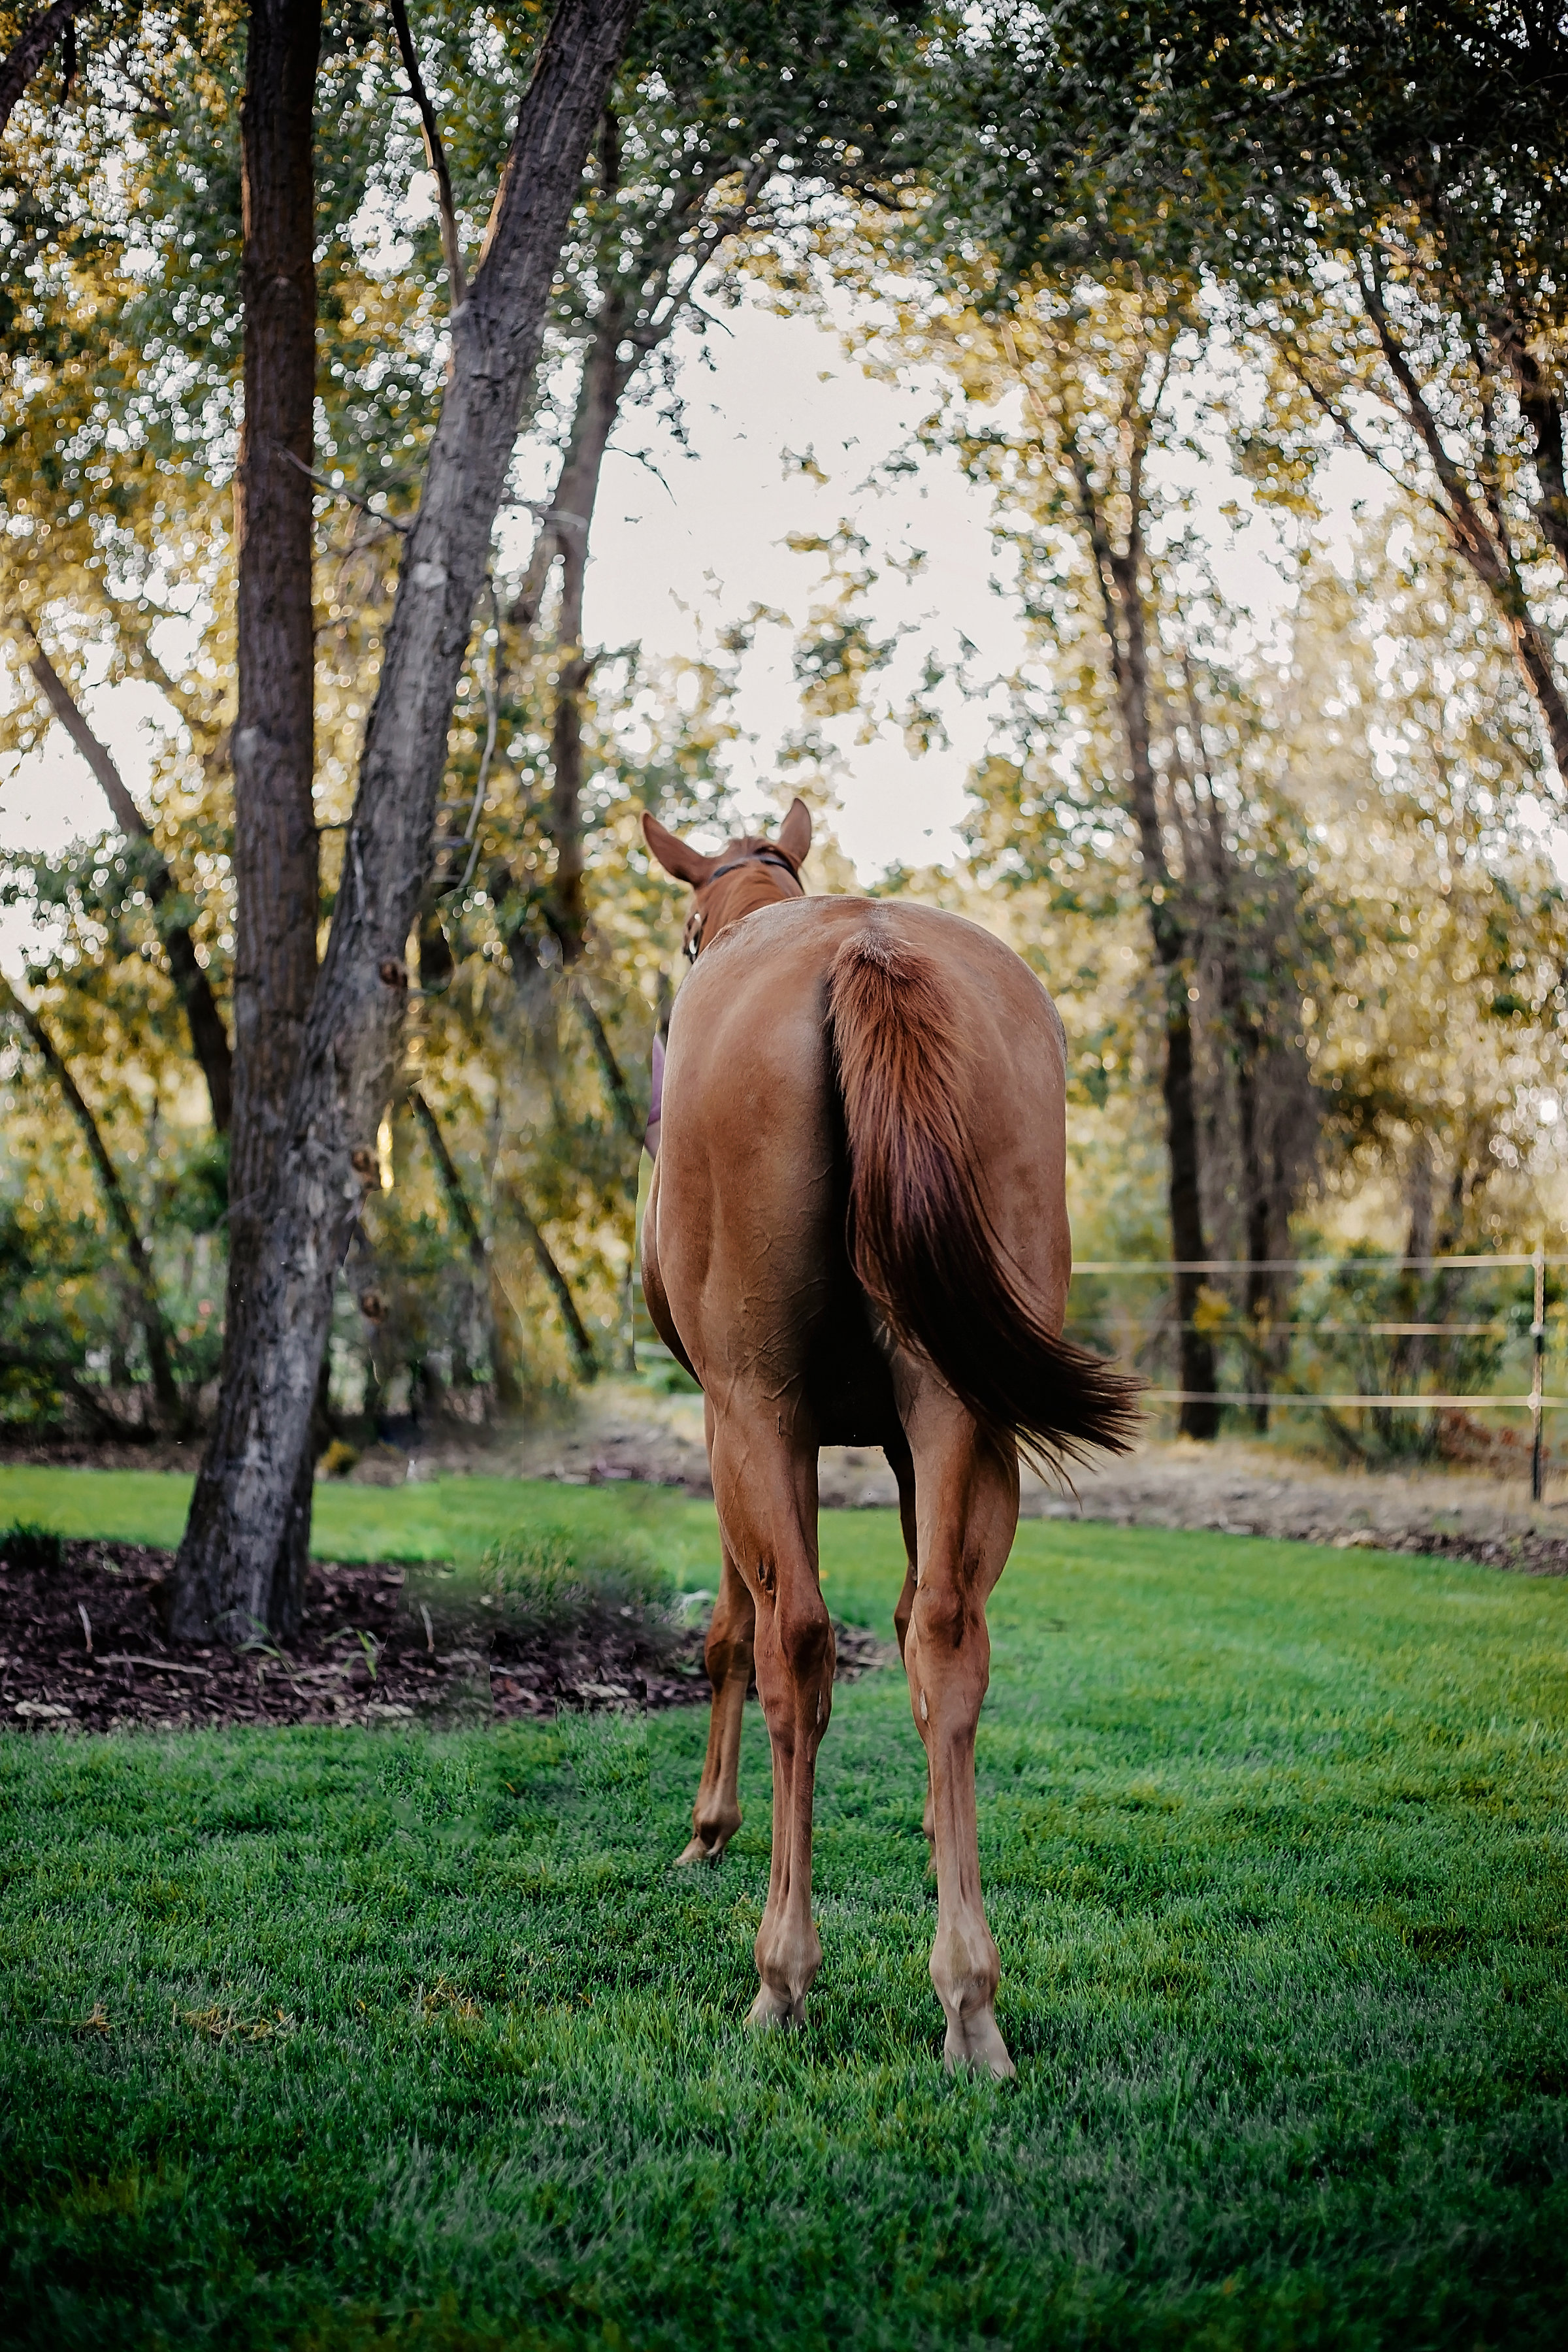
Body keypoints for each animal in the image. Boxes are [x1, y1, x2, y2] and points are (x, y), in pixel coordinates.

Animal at [640, 795, 1139, 2075]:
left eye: (686, 935)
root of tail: (868, 944)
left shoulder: (733, 1419)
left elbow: (731, 1631)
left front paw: (711, 1828)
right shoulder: (908, 1442)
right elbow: (920, 1623)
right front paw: (932, 1825)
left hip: (760, 1410)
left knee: (797, 1646)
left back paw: (783, 1971)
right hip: (964, 1407)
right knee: (951, 1635)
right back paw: (969, 1993)